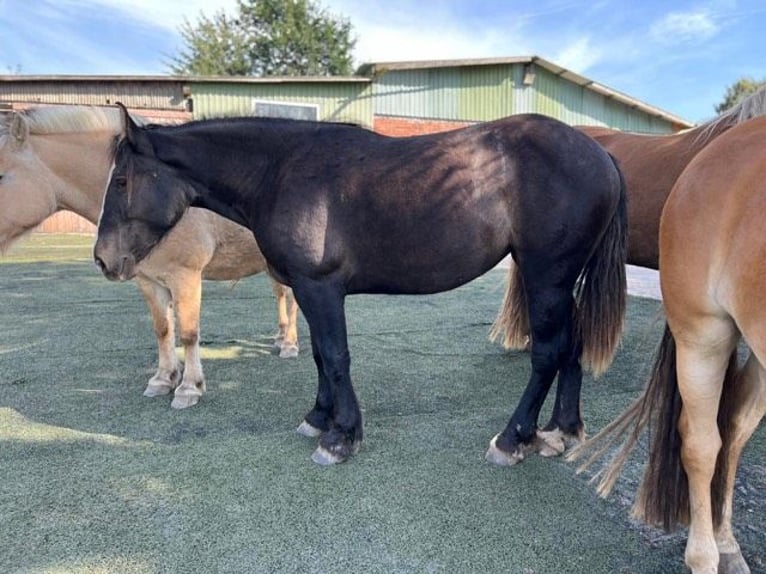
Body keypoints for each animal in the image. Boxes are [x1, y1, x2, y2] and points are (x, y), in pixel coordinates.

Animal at [0, 107, 300, 410]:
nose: (103, 260)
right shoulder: (147, 280)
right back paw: (280, 338)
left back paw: (290, 345)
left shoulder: (185, 276)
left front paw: (189, 387)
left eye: (1, 176)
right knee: (281, 296)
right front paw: (164, 379)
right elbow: (163, 329)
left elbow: (188, 333)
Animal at [94, 106, 632, 468]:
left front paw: (341, 437)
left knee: (548, 352)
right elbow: (318, 355)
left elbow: (335, 357)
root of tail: (602, 154)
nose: (103, 259)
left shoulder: (321, 287)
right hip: (560, 282)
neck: (279, 171)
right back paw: (560, 432)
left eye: (121, 181)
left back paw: (512, 438)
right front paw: (319, 417)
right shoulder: (307, 291)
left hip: (546, 276)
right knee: (572, 347)